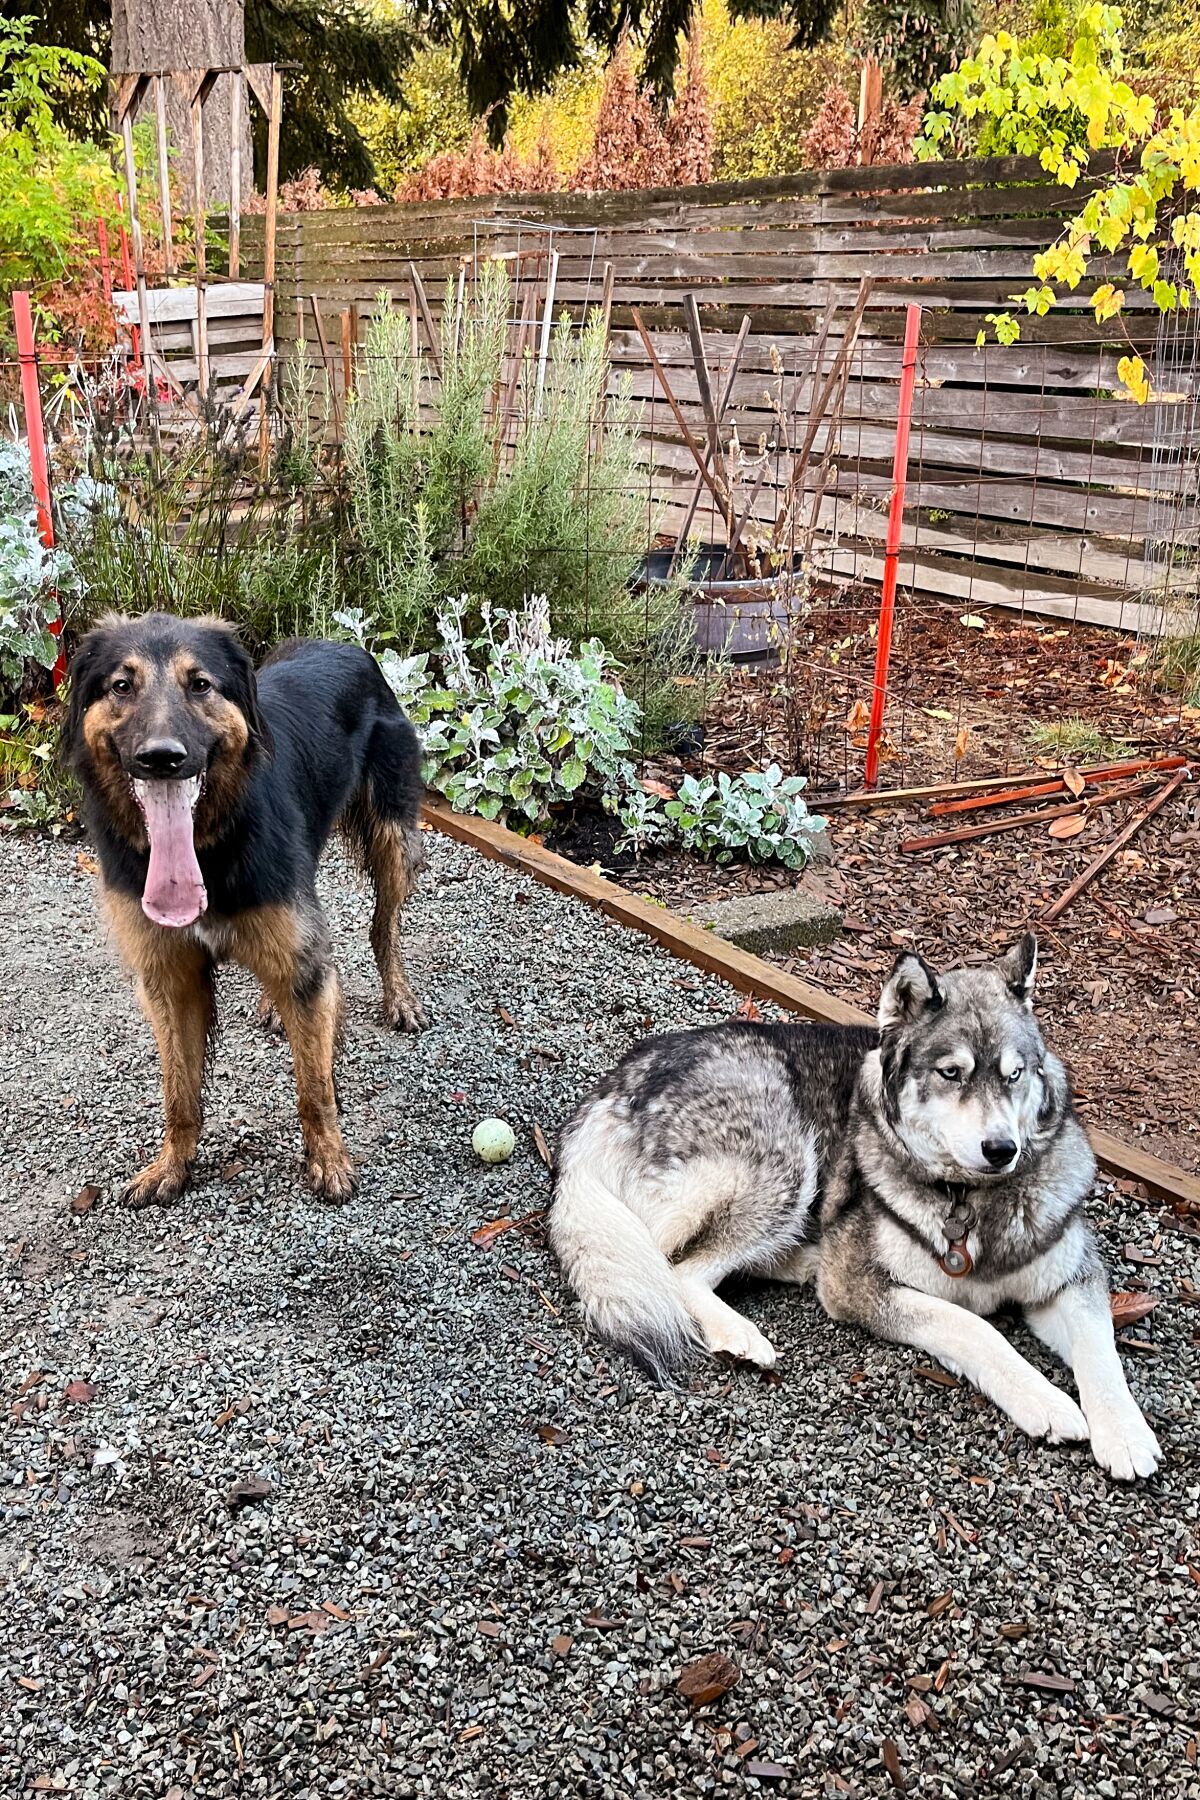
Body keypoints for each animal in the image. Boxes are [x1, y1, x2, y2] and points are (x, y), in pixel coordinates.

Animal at [64, 615, 426, 1209]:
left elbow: (314, 1086)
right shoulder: (169, 976)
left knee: (384, 926)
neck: (210, 845)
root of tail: (342, 642)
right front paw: (172, 1165)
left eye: (200, 685)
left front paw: (329, 1160)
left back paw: (399, 997)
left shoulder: (303, 961)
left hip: (393, 839)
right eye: (121, 686)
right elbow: (179, 1089)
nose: (161, 757)